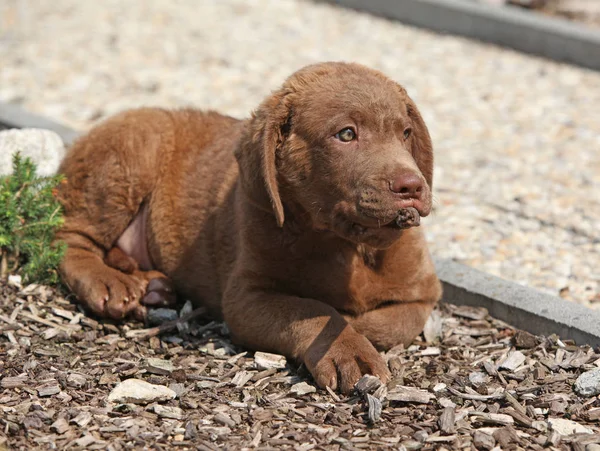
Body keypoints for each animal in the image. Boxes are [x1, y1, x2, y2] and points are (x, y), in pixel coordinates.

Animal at [57, 61, 440, 394]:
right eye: (346, 134)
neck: (347, 246)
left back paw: (152, 288)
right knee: (70, 238)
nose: (411, 186)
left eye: (406, 134)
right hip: (128, 159)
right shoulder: (245, 297)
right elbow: (310, 310)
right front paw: (348, 347)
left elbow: (393, 324)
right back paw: (107, 282)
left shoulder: (424, 294)